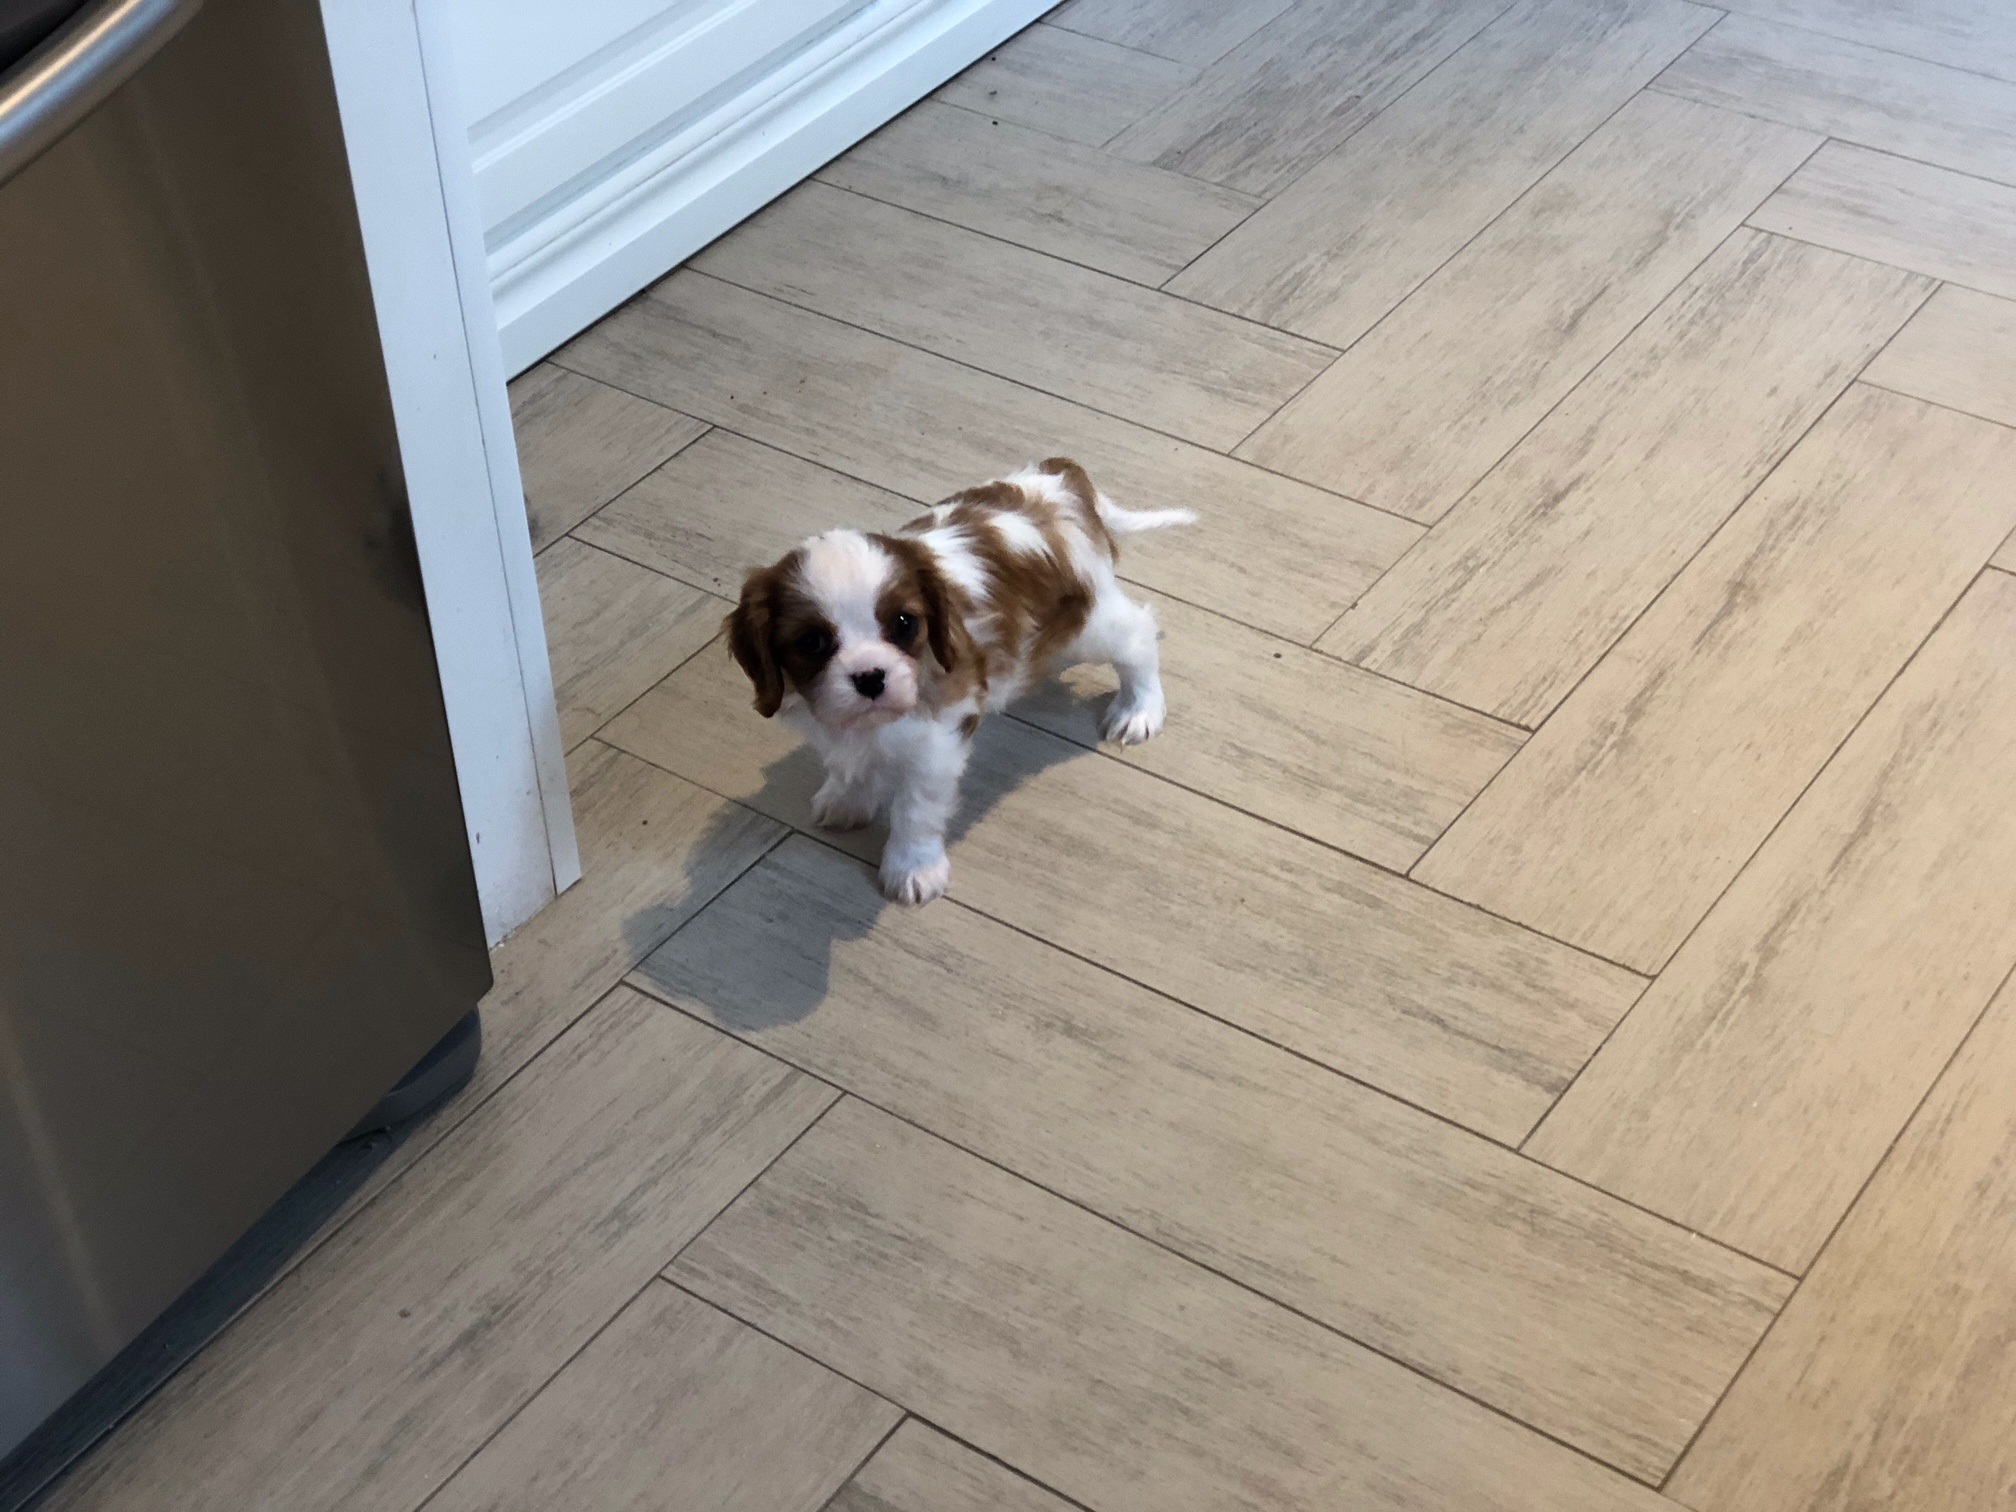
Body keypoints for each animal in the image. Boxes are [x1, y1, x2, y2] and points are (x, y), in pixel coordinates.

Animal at [726, 458, 1192, 905]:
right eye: (812, 642)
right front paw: (848, 800)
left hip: (1087, 625)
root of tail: (1061, 477)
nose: (870, 677)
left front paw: (913, 869)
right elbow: (851, 764)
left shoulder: (937, 746)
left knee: (1138, 634)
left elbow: (916, 810)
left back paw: (1139, 709)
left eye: (904, 624)